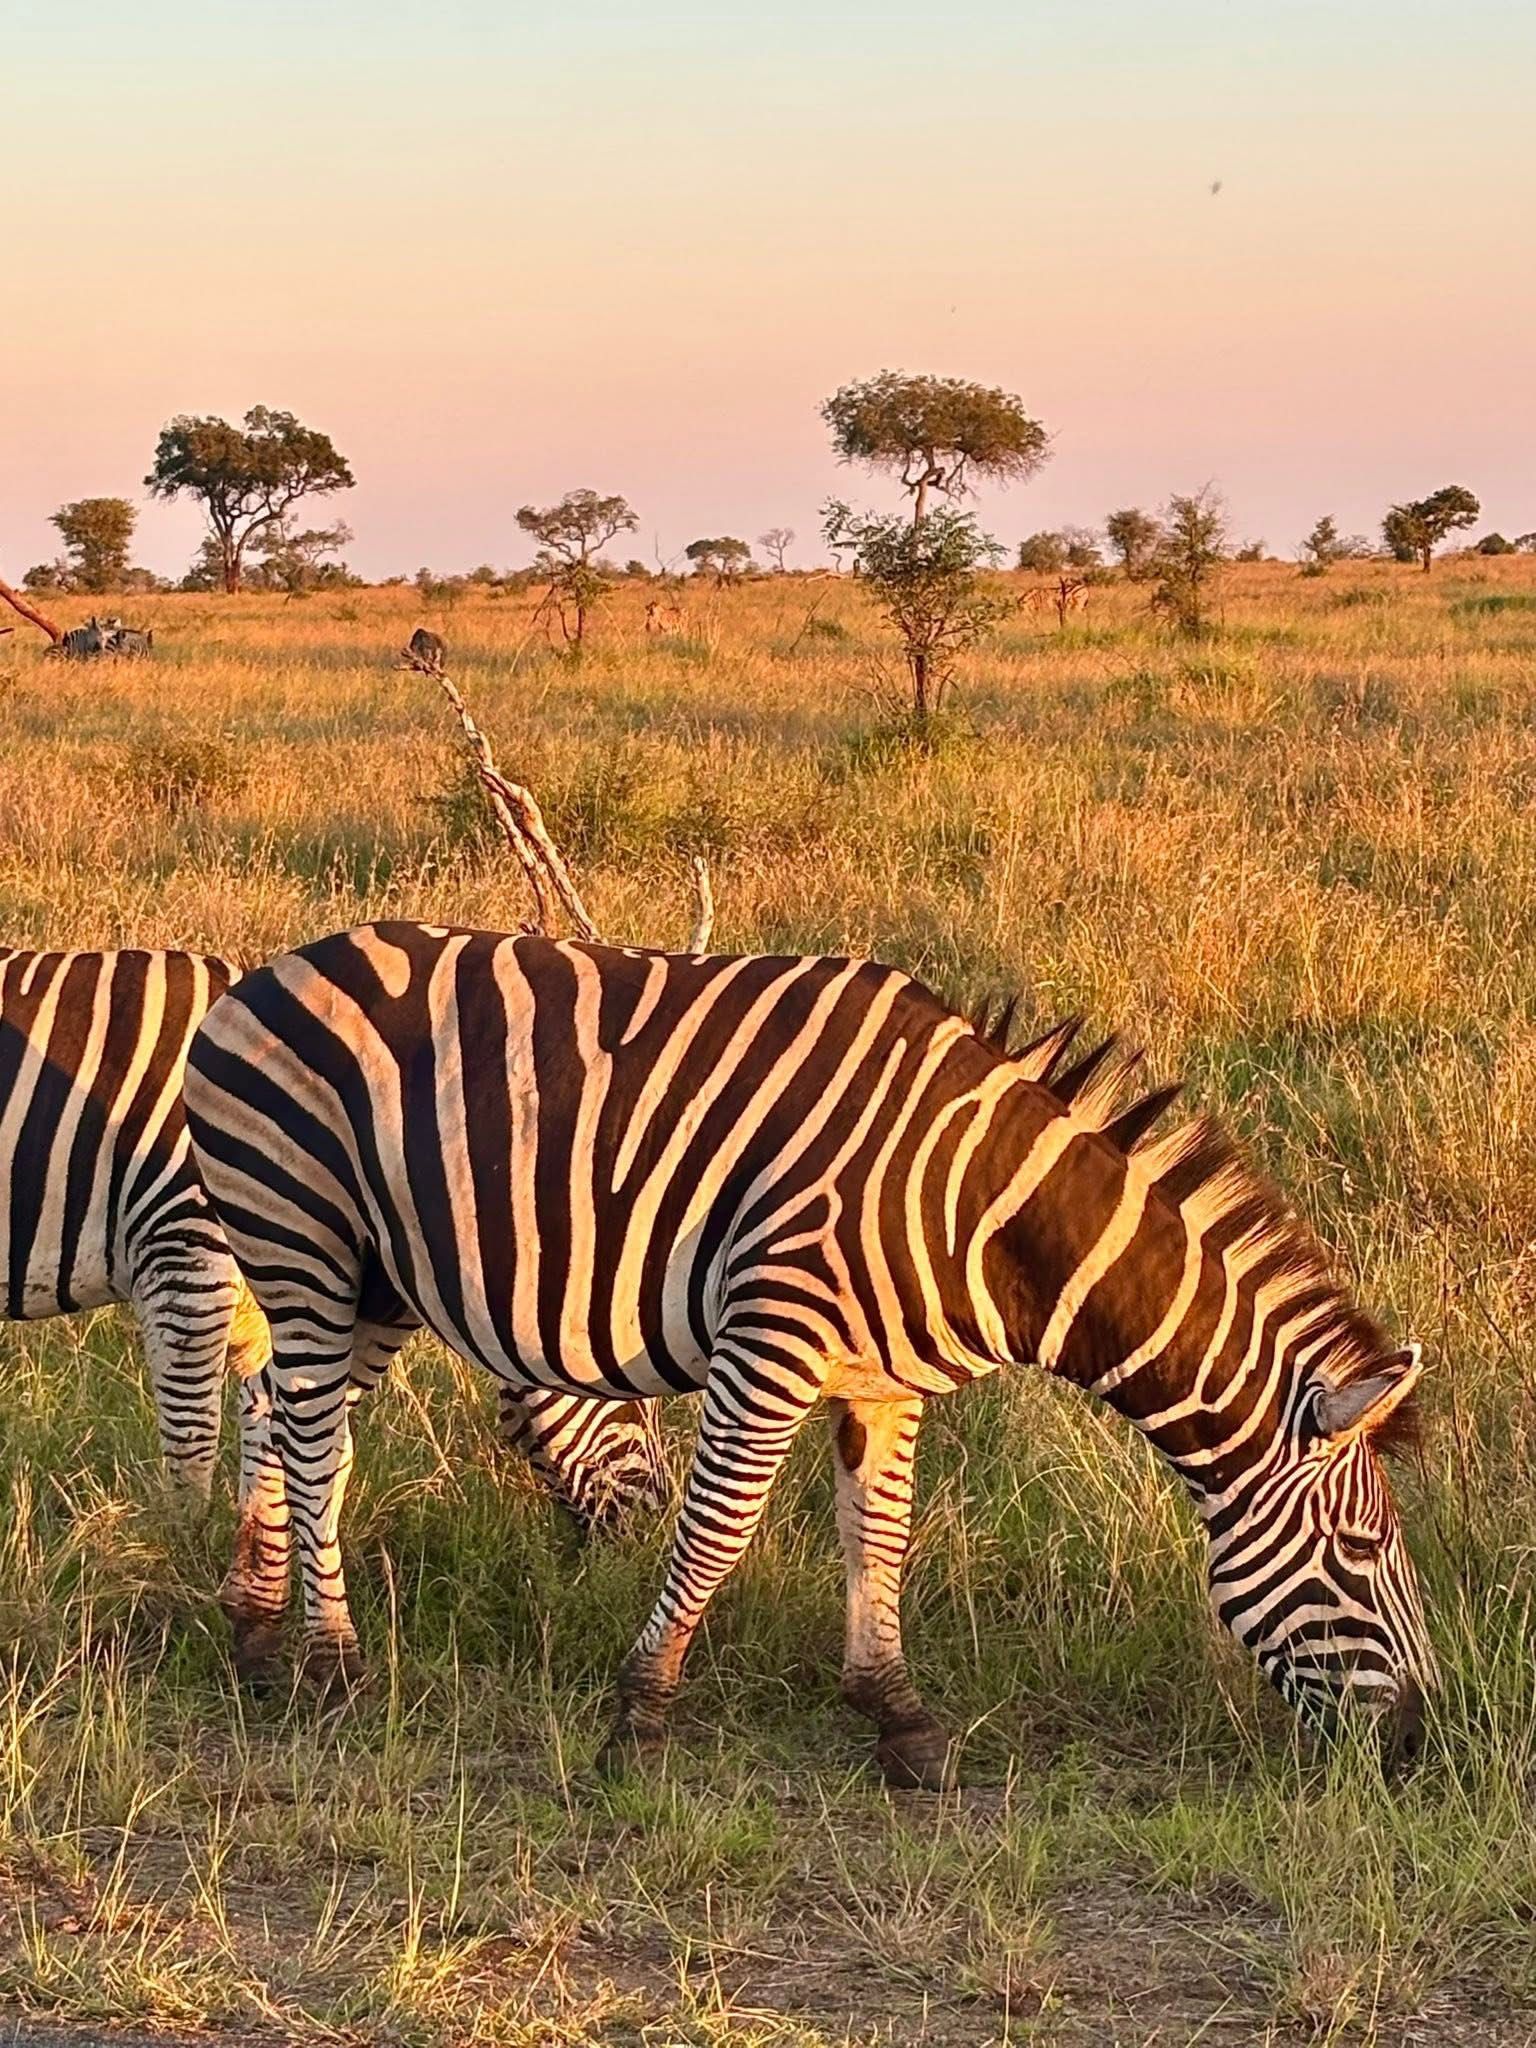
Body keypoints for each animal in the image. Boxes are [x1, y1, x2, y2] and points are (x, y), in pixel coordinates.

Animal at [0, 946, 663, 1606]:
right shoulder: (184, 1246)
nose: (647, 1540)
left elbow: (266, 1421)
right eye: (635, 1400)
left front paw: (255, 1558)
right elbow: (194, 1438)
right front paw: (178, 1563)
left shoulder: (255, 1304)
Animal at [182, 923, 1435, 1785]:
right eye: (1364, 1549)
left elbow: (880, 1532)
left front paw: (898, 1713)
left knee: (287, 1416)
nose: (1420, 1742)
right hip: (305, 1233)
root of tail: (262, 974)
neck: (987, 1210)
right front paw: (639, 1713)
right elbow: (719, 1528)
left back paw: (255, 1624)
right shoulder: (772, 1332)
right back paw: (333, 1663)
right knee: (312, 1439)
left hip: (372, 1276)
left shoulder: (885, 1378)